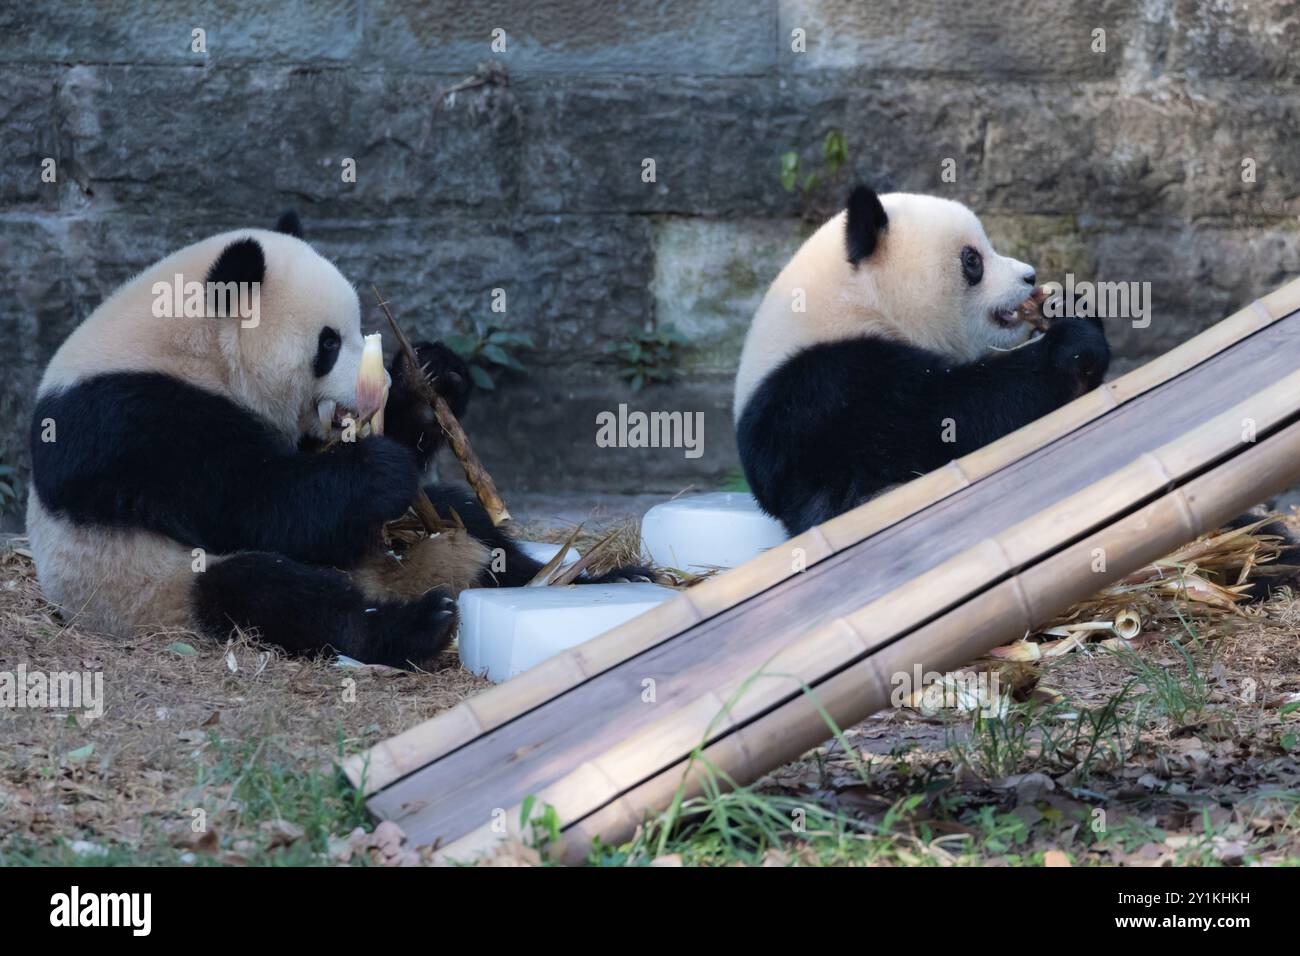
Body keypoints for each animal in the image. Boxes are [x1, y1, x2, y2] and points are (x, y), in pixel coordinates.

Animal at [27, 214, 644, 667]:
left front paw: (432, 379)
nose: (375, 389)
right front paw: (377, 469)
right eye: (327, 344)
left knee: (464, 516)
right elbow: (252, 505)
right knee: (265, 592)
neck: (185, 342)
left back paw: (593, 578)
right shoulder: (135, 420)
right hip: (152, 590)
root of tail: (382, 577)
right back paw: (416, 626)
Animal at [734, 185, 1110, 537]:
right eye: (972, 259)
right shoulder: (825, 392)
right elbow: (952, 415)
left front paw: (1065, 305)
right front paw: (1072, 347)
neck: (855, 306)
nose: (1029, 276)